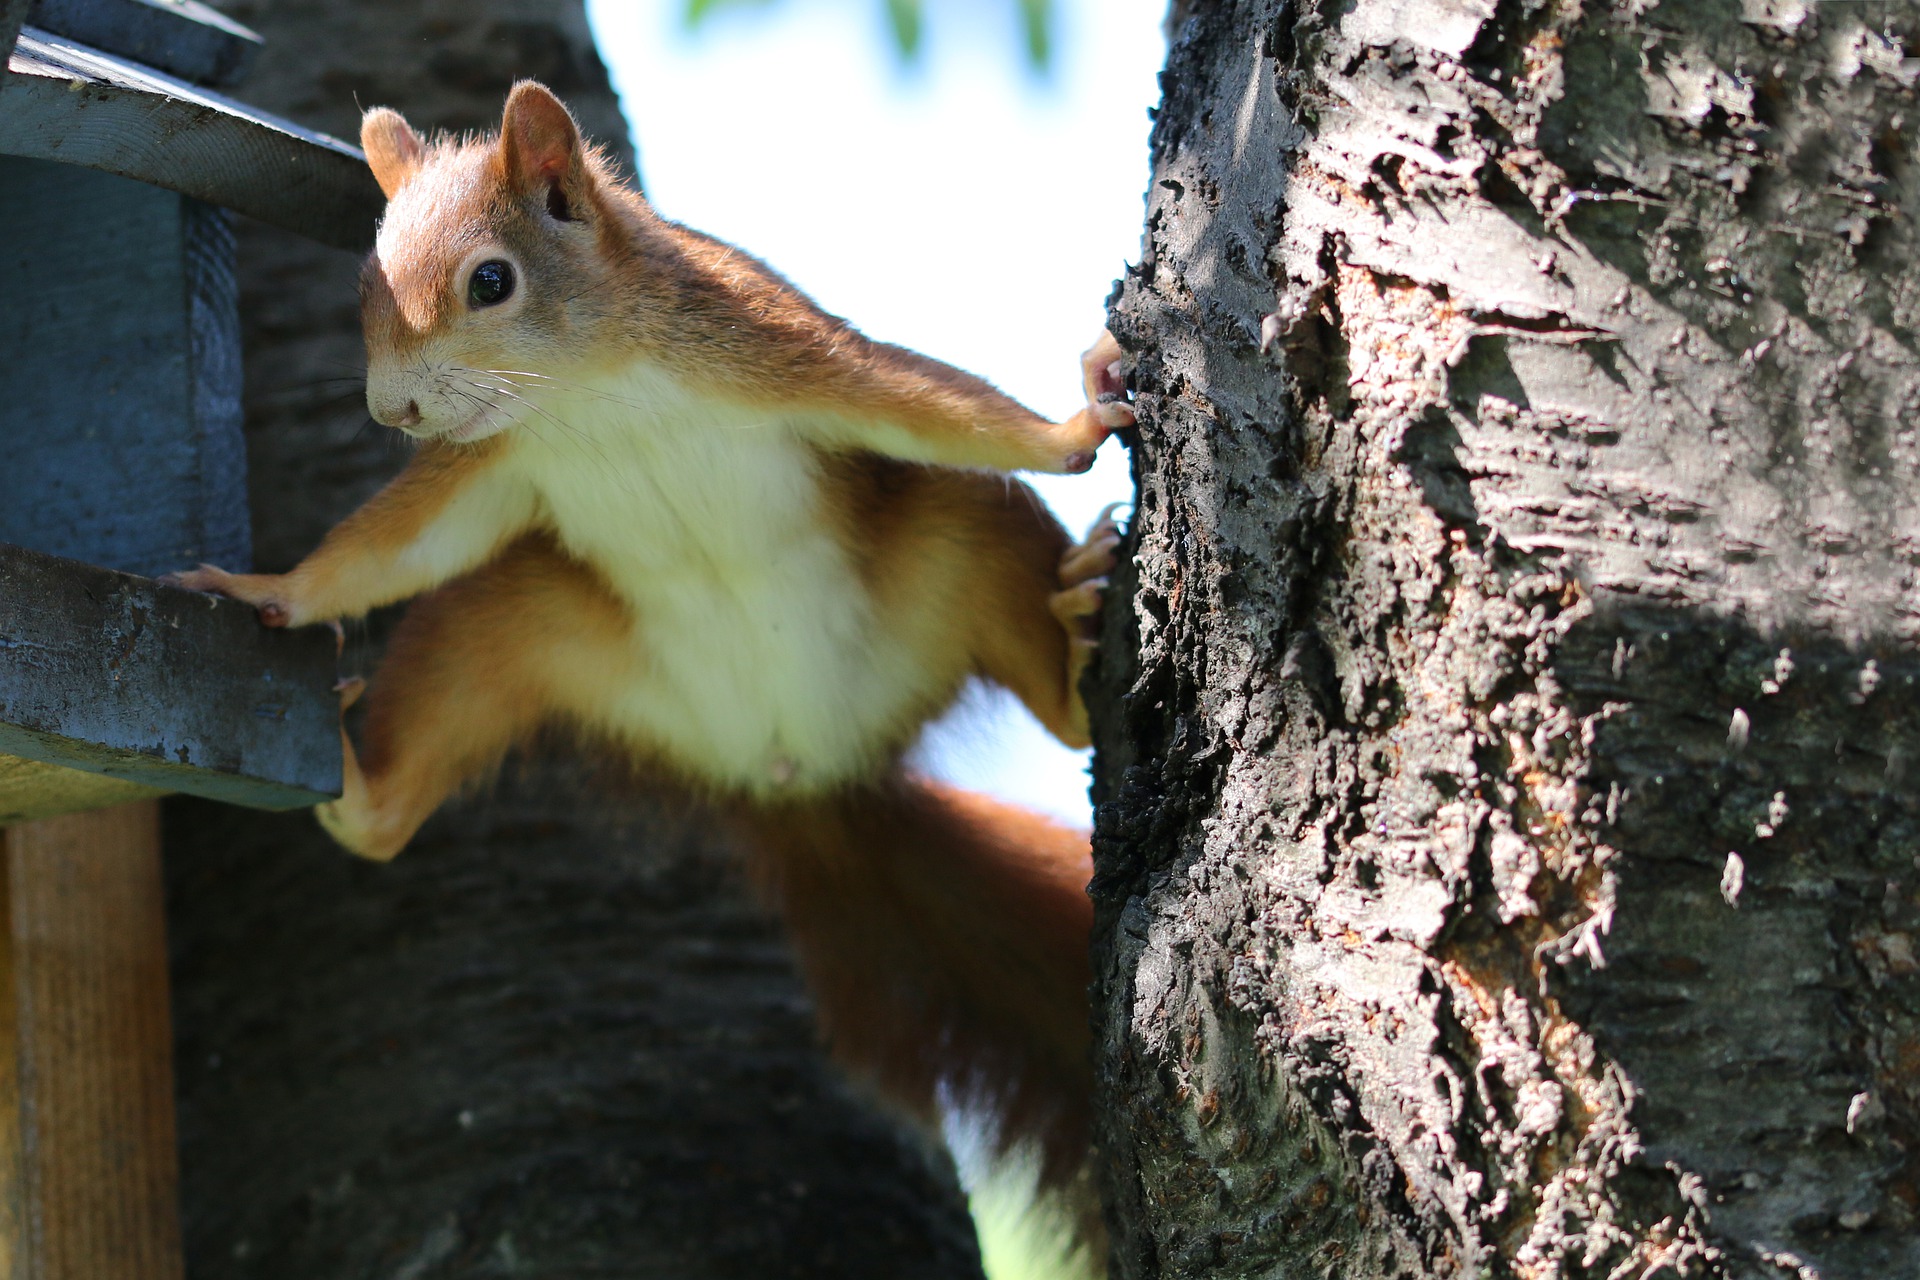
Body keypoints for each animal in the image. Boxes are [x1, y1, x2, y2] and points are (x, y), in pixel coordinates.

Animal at [165, 77, 1128, 1243]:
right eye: (365, 279)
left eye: (492, 280)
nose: (393, 408)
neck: (591, 395)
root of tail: (804, 773)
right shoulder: (489, 465)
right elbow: (389, 550)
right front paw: (271, 590)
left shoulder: (770, 346)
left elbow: (927, 402)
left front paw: (1075, 422)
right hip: (521, 630)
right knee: (399, 790)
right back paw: (358, 788)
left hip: (957, 545)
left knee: (1035, 647)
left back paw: (1076, 657)